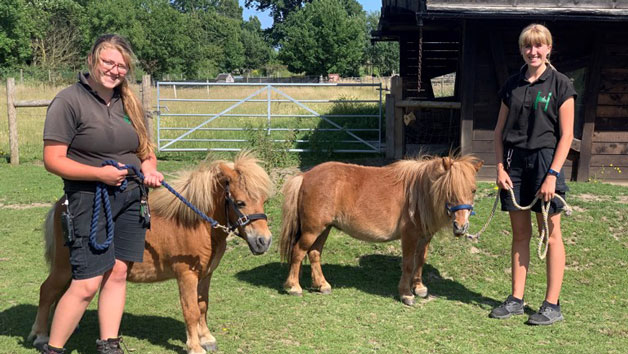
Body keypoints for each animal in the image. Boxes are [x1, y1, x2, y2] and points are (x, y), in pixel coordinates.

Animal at [28, 152, 272, 354]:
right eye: (240, 202)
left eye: (263, 200)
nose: (264, 241)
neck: (194, 224)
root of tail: (62, 205)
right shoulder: (186, 275)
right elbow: (191, 310)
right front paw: (195, 346)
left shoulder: (205, 274)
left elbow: (203, 305)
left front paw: (207, 339)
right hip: (64, 267)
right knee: (47, 290)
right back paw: (41, 336)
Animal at [278, 153, 480, 306]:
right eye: (449, 190)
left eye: (473, 190)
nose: (461, 226)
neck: (418, 194)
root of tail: (305, 176)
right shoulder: (409, 236)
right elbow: (408, 264)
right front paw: (406, 294)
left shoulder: (424, 237)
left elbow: (420, 261)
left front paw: (419, 288)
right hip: (312, 230)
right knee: (298, 252)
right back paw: (294, 287)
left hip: (324, 229)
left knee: (314, 254)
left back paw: (322, 285)